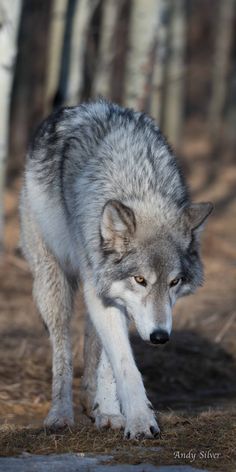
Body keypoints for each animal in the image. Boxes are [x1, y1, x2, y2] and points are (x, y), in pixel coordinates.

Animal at [19, 98, 213, 438]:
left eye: (174, 282)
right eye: (140, 279)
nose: (160, 336)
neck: (136, 183)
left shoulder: (117, 298)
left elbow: (109, 364)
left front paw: (111, 412)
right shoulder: (106, 294)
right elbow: (124, 363)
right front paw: (140, 420)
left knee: (93, 344)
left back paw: (93, 403)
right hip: (51, 283)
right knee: (61, 347)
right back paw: (60, 414)